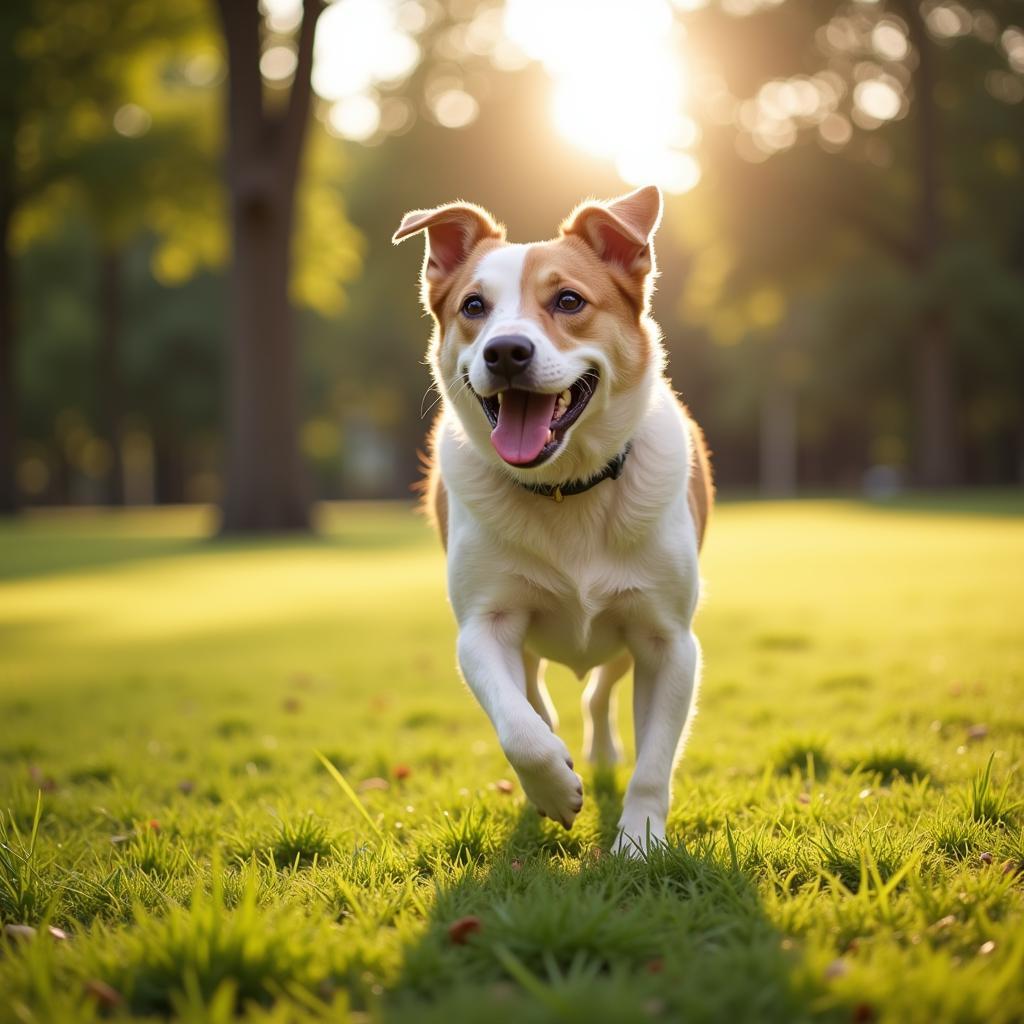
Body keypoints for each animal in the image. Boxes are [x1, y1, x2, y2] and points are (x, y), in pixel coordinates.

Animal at [391, 186, 712, 856]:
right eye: (474, 306)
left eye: (568, 301)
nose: (506, 351)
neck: (565, 488)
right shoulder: (484, 625)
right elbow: (520, 727)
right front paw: (555, 788)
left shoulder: (669, 639)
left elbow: (655, 760)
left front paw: (640, 842)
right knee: (538, 696)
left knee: (600, 692)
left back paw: (603, 752)